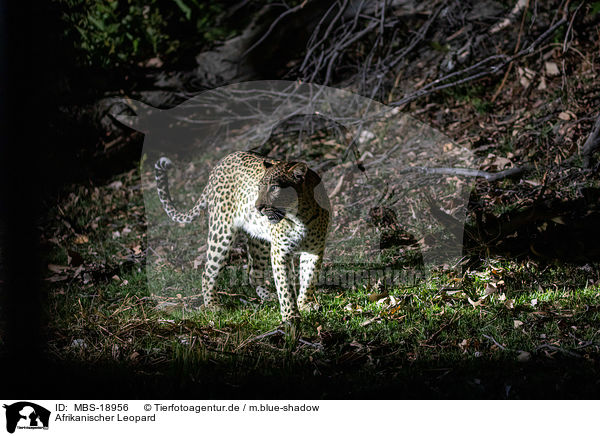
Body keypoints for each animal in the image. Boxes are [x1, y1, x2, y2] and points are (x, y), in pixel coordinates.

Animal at [155, 151, 330, 324]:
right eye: (259, 188)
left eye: (274, 188)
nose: (258, 207)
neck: (300, 216)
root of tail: (220, 163)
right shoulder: (281, 252)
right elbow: (285, 287)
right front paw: (291, 316)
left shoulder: (314, 250)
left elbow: (309, 278)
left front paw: (304, 304)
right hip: (221, 232)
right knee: (208, 272)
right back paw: (213, 305)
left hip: (260, 242)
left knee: (253, 273)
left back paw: (267, 296)